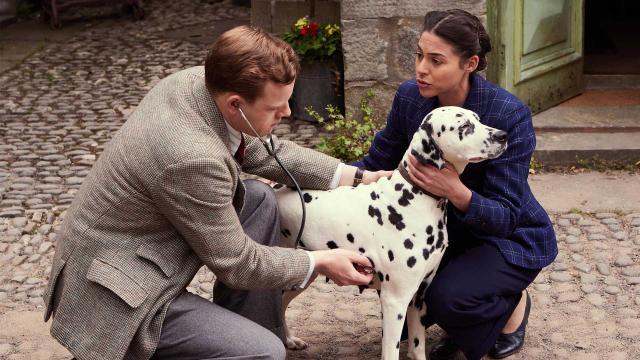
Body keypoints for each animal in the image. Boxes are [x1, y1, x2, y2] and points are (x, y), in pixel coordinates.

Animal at [278, 105, 508, 358]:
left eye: (478, 119)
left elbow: (417, 348)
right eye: (464, 126)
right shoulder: (394, 301)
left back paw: (288, 340)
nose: (503, 136)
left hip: (303, 274)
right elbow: (391, 351)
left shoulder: (419, 297)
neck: (412, 197)